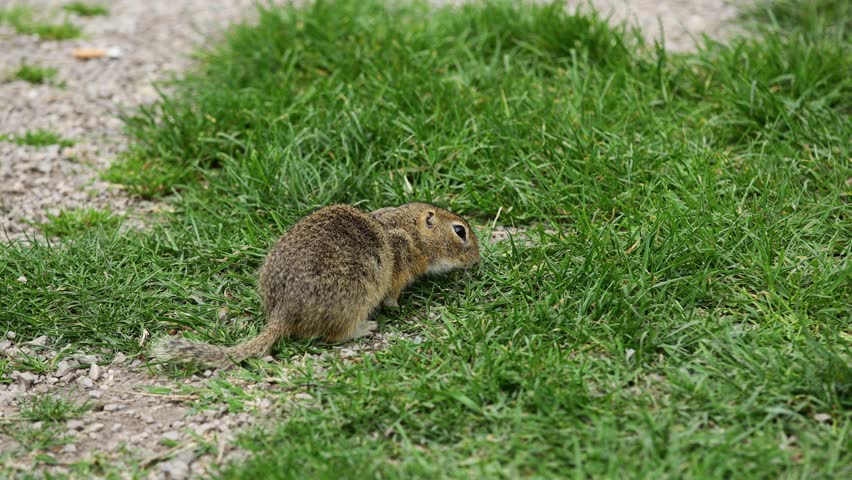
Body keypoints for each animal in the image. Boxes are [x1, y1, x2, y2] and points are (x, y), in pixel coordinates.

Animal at [150, 202, 480, 367]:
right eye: (460, 231)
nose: (477, 259)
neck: (410, 231)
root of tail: (281, 313)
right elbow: (392, 296)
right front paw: (396, 307)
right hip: (354, 300)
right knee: (333, 336)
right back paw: (366, 328)